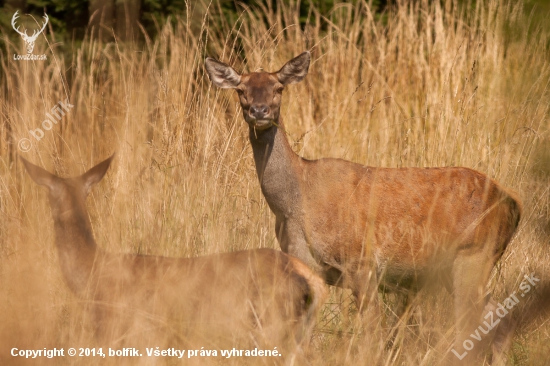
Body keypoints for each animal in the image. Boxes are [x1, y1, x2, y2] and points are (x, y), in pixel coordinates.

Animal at [206, 51, 520, 364]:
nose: (259, 111)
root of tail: (513, 205)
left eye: (278, 87)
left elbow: (372, 337)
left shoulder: (363, 262)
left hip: (473, 253)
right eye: (241, 89)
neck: (297, 204)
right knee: (497, 317)